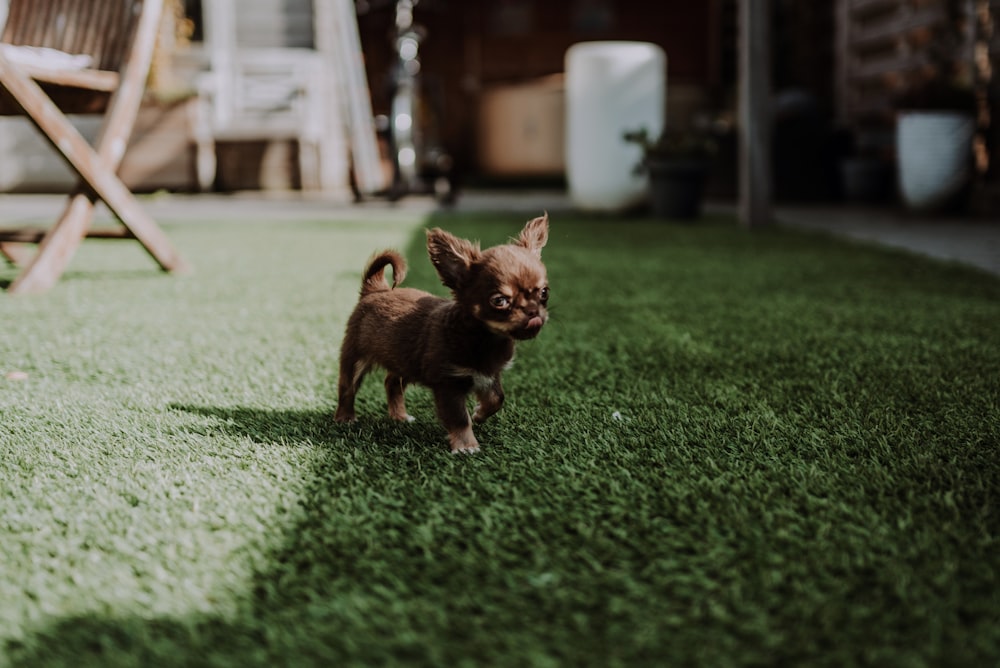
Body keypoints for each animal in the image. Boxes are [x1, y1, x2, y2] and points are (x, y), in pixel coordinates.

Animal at [338, 214, 556, 454]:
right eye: (499, 301)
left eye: (544, 293)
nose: (533, 310)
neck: (484, 339)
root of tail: (377, 289)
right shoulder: (448, 384)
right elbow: (459, 418)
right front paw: (466, 446)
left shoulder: (489, 375)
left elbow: (497, 398)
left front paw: (479, 414)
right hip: (355, 358)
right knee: (347, 387)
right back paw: (345, 418)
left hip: (406, 362)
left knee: (391, 382)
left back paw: (400, 417)